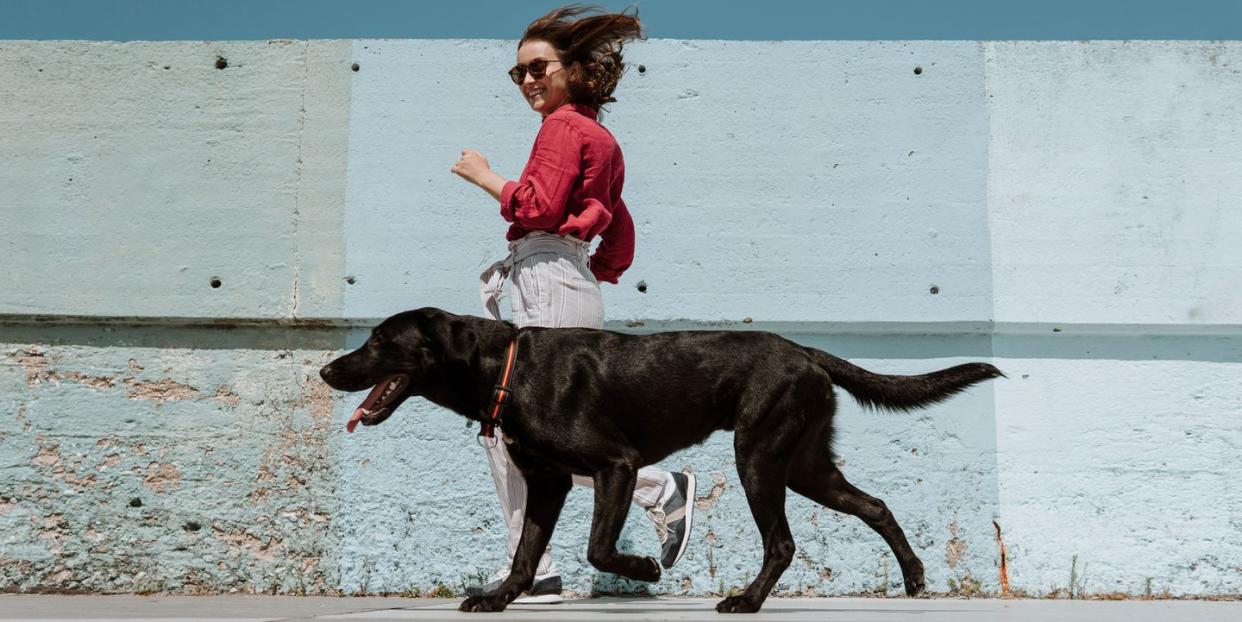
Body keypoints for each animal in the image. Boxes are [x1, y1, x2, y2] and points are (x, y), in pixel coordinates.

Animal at [320, 306, 998, 610]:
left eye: (379, 340)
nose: (327, 370)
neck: (508, 368)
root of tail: (807, 350)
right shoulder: (547, 484)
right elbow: (525, 552)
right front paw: (500, 598)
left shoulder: (614, 465)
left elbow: (598, 547)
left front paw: (645, 569)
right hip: (805, 464)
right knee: (875, 505)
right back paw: (913, 578)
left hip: (760, 458)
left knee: (782, 542)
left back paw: (748, 601)